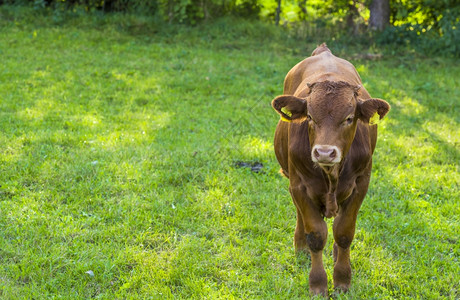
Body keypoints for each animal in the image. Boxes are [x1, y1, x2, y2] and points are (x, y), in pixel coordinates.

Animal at [272, 44, 390, 296]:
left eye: (349, 118)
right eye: (309, 116)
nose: (325, 152)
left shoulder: (361, 184)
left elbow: (344, 232)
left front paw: (343, 280)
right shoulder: (299, 185)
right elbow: (316, 235)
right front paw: (317, 284)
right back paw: (301, 248)